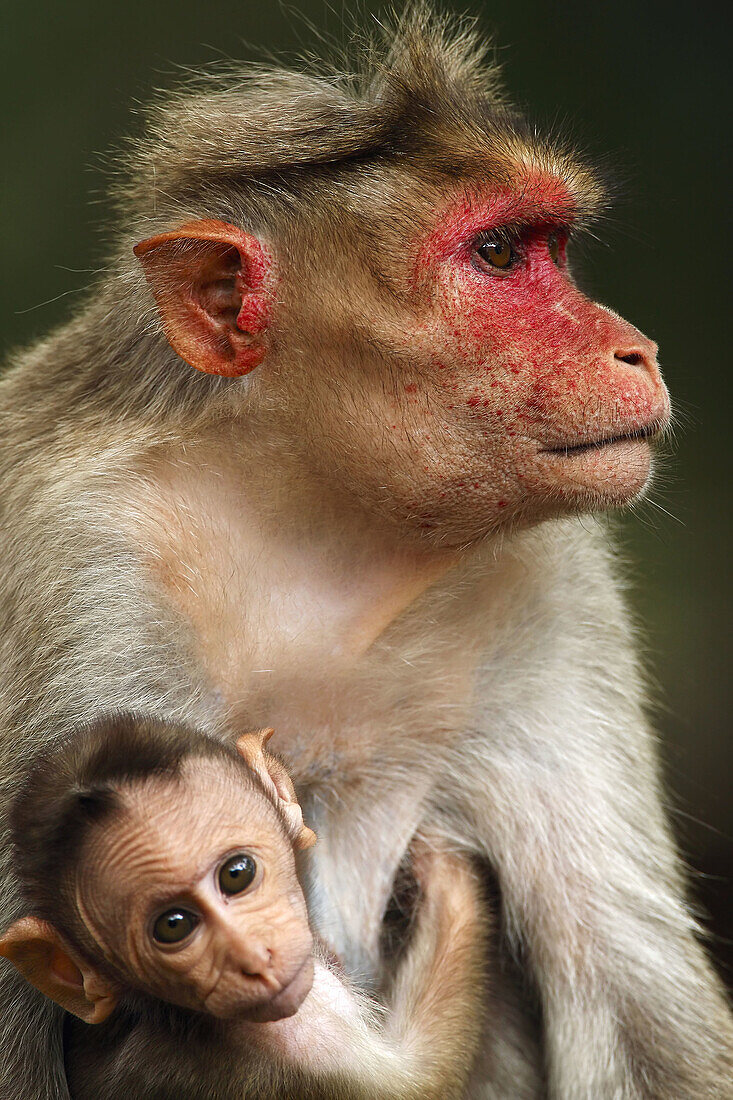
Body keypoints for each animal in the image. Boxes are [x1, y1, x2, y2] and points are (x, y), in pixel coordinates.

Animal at [0, 8, 726, 1100]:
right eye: (498, 252)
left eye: (550, 246)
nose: (634, 348)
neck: (319, 525)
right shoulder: (80, 585)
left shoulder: (550, 580)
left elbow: (643, 1009)